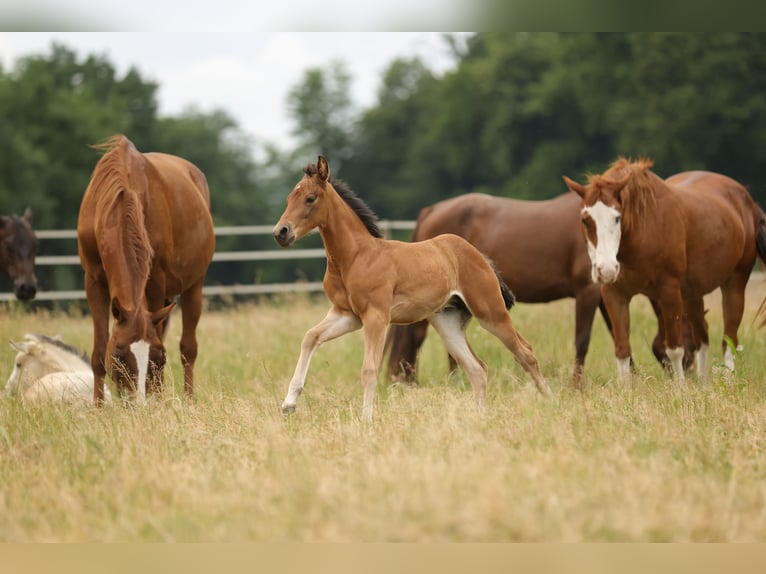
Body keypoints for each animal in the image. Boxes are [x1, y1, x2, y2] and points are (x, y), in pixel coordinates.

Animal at [77, 135, 215, 404]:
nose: (138, 402)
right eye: (119, 356)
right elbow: (98, 353)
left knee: (188, 349)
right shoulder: (93, 281)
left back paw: (189, 401)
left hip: (194, 285)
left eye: (158, 357)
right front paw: (97, 407)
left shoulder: (155, 283)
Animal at [273, 156, 551, 422]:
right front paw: (288, 405)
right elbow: (310, 337)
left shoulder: (376, 316)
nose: (281, 232)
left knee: (526, 353)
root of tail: (478, 255)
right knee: (477, 369)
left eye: (310, 198)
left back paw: (551, 402)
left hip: (491, 313)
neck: (354, 257)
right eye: (288, 198)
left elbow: (369, 369)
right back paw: (479, 418)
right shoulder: (347, 315)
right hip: (448, 322)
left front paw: (366, 421)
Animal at [384, 193, 696, 387]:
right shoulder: (587, 291)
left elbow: (617, 333)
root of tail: (431, 210)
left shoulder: (602, 294)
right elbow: (583, 340)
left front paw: (633, 378)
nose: (688, 370)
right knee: (417, 338)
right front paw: (576, 386)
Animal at [563, 157, 766, 381]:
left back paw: (728, 382)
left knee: (729, 340)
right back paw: (704, 384)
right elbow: (622, 350)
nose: (606, 270)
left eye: (617, 217)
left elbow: (675, 349)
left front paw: (680, 387)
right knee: (702, 336)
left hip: (735, 283)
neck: (642, 231)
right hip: (692, 295)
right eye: (585, 220)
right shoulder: (614, 294)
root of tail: (748, 202)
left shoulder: (669, 292)